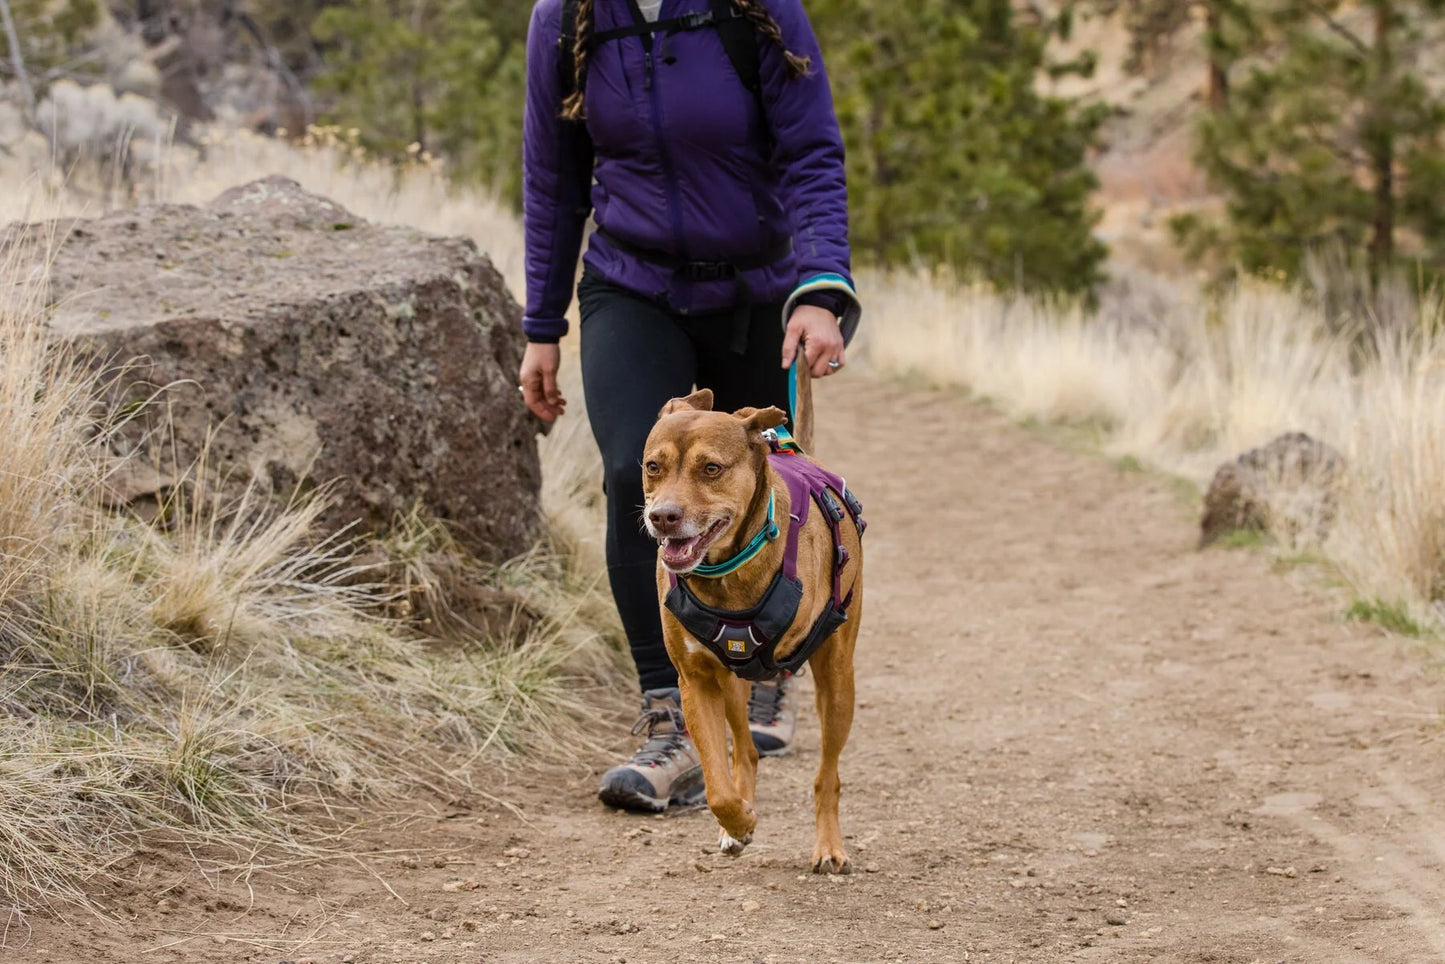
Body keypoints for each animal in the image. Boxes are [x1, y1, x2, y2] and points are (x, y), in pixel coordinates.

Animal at [641, 387, 861, 872]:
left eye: (711, 468)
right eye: (653, 466)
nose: (663, 516)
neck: (726, 573)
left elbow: (823, 775)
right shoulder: (697, 680)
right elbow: (717, 787)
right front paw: (739, 822)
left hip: (839, 683)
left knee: (828, 774)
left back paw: (829, 846)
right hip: (731, 683)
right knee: (745, 750)